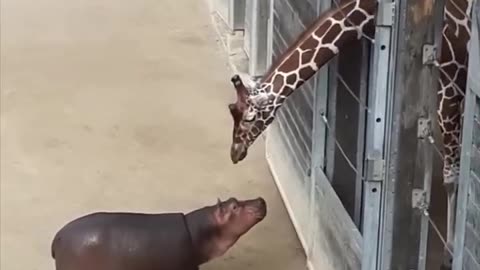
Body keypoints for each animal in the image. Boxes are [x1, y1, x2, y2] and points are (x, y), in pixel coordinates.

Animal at [228, 0, 472, 266]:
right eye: (232, 112)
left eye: (250, 118)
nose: (234, 153)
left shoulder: (451, 85)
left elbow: (452, 177)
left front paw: (450, 252)